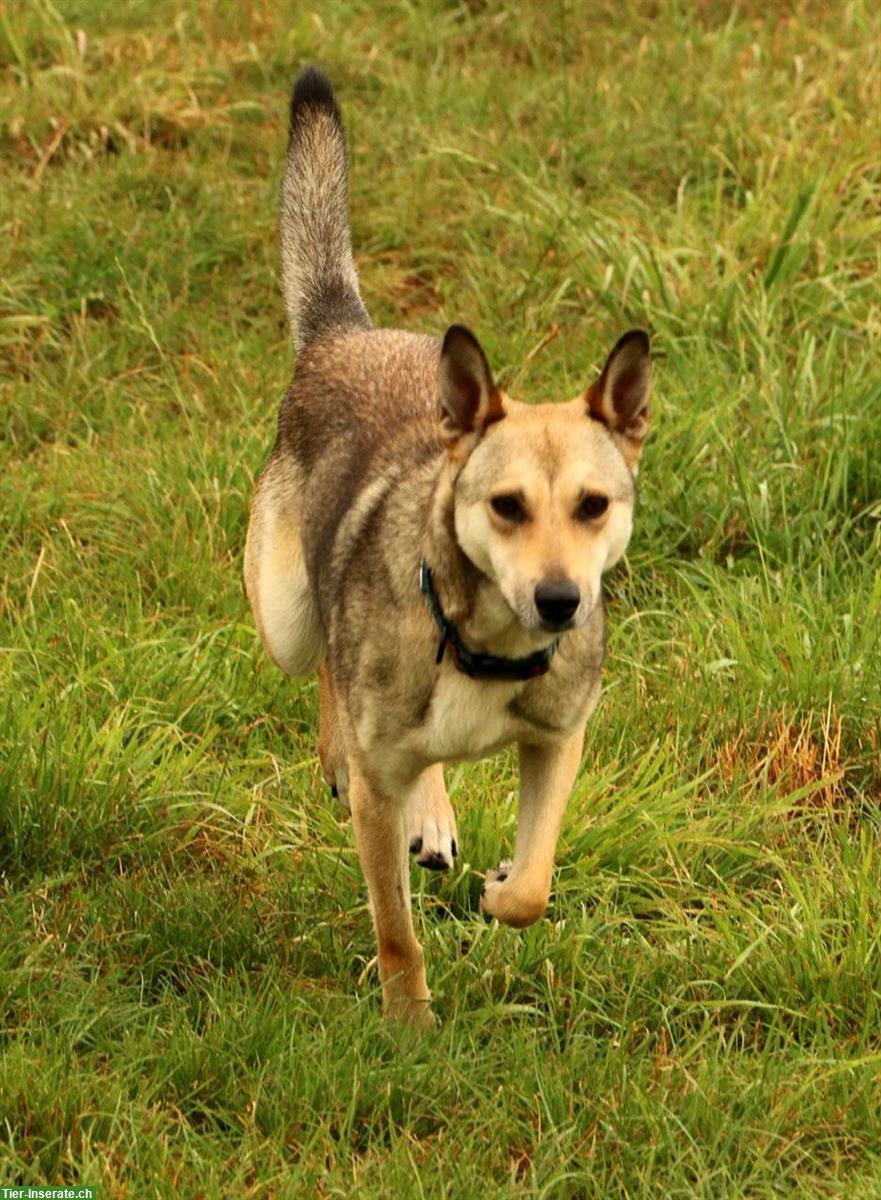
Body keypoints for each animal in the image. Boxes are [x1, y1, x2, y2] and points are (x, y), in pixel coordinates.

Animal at [244, 68, 652, 1022]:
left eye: (593, 505)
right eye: (505, 506)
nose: (560, 601)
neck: (483, 647)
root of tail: (344, 334)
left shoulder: (558, 738)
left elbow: (534, 886)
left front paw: (502, 889)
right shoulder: (375, 787)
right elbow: (395, 929)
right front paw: (408, 1026)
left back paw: (432, 816)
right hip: (285, 617)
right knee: (325, 668)